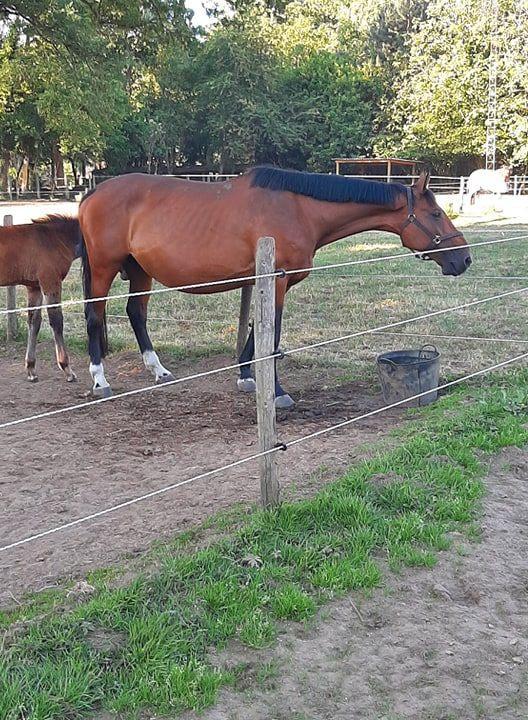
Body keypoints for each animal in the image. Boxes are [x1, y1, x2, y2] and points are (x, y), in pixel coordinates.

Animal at [0, 215, 80, 382]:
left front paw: (31, 369)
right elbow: (56, 320)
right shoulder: (50, 282)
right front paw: (67, 369)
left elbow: (34, 322)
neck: (55, 238)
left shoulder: (34, 287)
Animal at [78, 168, 471, 407]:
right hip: (103, 268)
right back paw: (100, 381)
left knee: (136, 314)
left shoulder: (265, 282)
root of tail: (93, 192)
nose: (464, 259)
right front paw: (277, 393)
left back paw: (158, 370)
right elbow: (273, 336)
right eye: (436, 214)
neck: (298, 209)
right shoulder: (277, 281)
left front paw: (246, 377)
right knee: (94, 316)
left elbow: (258, 333)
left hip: (139, 270)